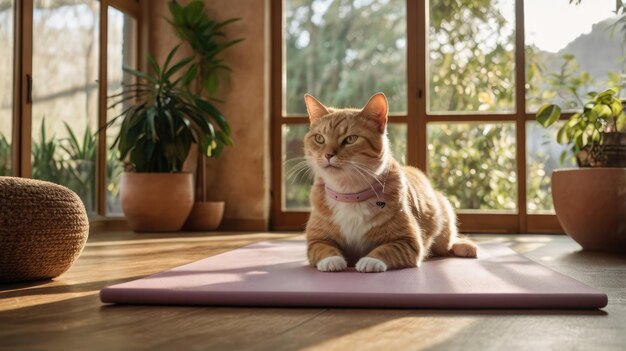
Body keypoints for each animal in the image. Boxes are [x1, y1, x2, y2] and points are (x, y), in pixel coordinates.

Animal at [304, 92, 476, 274]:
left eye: (350, 139)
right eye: (319, 138)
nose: (328, 155)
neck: (350, 194)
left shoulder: (408, 241)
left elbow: (386, 249)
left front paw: (371, 261)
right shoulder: (316, 240)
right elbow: (322, 248)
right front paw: (332, 259)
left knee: (448, 243)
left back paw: (463, 247)